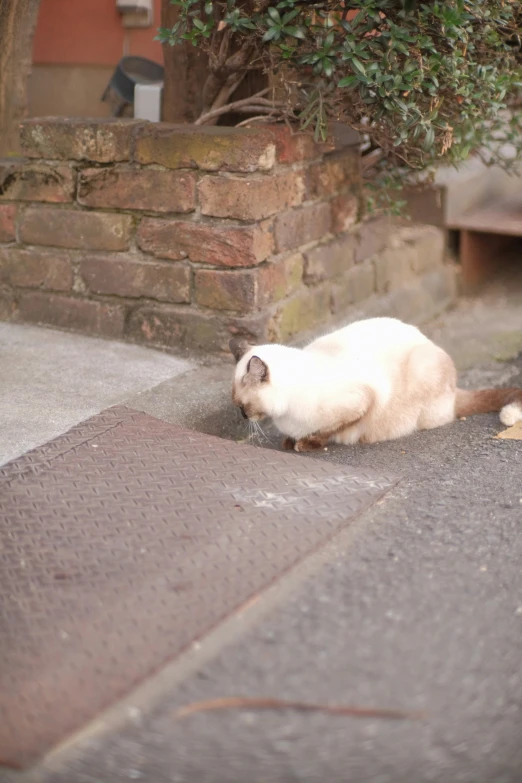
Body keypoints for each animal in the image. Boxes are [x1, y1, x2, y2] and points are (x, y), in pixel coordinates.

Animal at [230, 316, 520, 450]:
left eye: (242, 405)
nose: (242, 416)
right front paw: (290, 441)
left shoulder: (361, 402)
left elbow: (327, 431)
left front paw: (304, 444)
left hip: (422, 370)